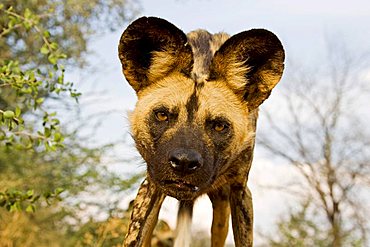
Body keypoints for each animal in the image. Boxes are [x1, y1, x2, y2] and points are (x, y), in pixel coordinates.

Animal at [118, 16, 284, 246]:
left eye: (219, 126)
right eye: (162, 115)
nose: (184, 162)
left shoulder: (240, 192)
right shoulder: (151, 188)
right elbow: (136, 238)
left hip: (221, 211)